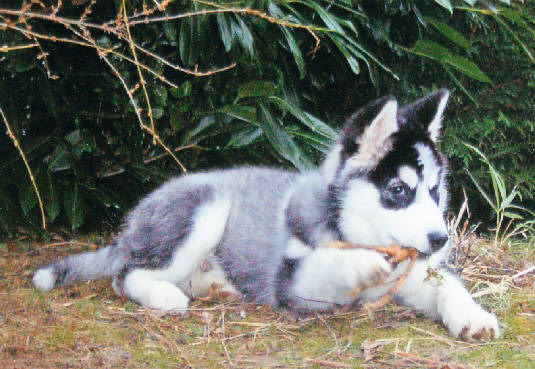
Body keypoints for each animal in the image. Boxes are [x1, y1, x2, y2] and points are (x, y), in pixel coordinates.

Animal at [34, 89, 502, 340]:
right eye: (398, 191)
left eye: (435, 191)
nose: (441, 240)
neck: (349, 225)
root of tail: (132, 222)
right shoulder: (294, 284)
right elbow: (328, 263)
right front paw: (361, 262)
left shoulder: (418, 271)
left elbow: (447, 285)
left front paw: (473, 315)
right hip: (204, 209)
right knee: (125, 275)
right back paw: (166, 295)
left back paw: (215, 284)